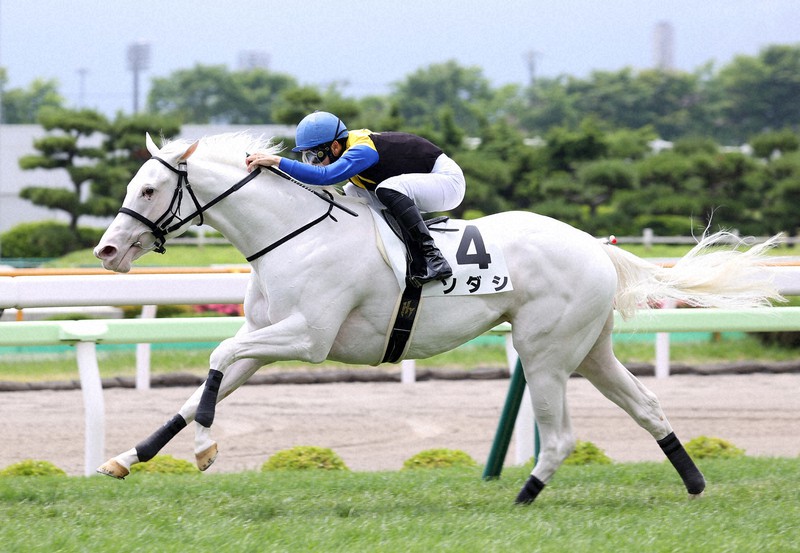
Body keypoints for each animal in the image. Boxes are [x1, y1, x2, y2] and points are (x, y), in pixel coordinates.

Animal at [94, 132, 780, 502]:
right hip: (590, 349)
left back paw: (523, 496)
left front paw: (206, 447)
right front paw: (129, 457)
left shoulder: (307, 338)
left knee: (560, 436)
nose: (106, 251)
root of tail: (595, 246)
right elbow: (201, 390)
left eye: (149, 189)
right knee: (649, 408)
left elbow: (214, 361)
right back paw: (694, 483)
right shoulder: (263, 336)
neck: (294, 234)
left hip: (545, 352)